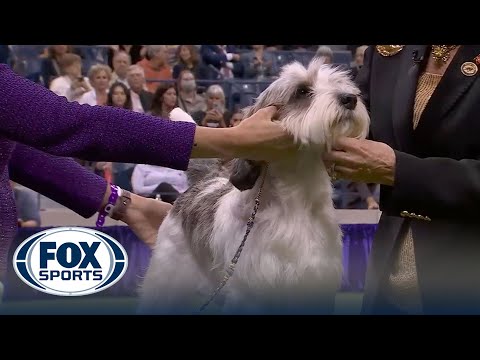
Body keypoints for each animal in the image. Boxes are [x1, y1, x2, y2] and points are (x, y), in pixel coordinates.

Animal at [137, 57, 370, 314]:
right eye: (302, 91)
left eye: (339, 83)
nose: (350, 98)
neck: (295, 203)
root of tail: (207, 180)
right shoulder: (251, 293)